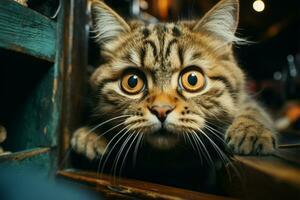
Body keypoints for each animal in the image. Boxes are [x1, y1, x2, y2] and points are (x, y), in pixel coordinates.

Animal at [71, 0, 276, 162]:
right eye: (132, 82)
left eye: (192, 79)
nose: (161, 110)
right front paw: (92, 133)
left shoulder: (247, 99)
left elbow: (253, 111)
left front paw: (252, 131)